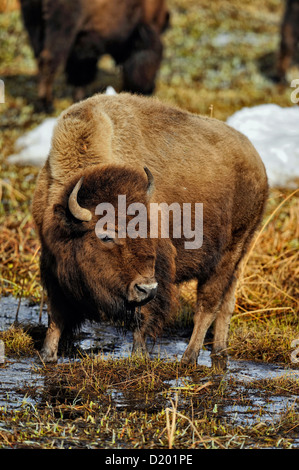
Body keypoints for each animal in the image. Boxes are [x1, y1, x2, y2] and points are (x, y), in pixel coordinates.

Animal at [20, 0, 171, 112]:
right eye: (155, 57)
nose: (150, 89)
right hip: (61, 29)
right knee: (49, 62)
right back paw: (47, 105)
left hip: (34, 24)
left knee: (40, 60)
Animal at [32, 92, 270, 368]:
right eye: (105, 235)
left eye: (148, 229)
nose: (146, 288)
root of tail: (258, 164)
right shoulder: (52, 263)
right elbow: (56, 313)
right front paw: (47, 355)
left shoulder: (156, 273)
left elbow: (143, 317)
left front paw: (139, 355)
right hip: (240, 255)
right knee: (226, 304)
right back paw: (219, 352)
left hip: (228, 253)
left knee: (207, 305)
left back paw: (189, 357)